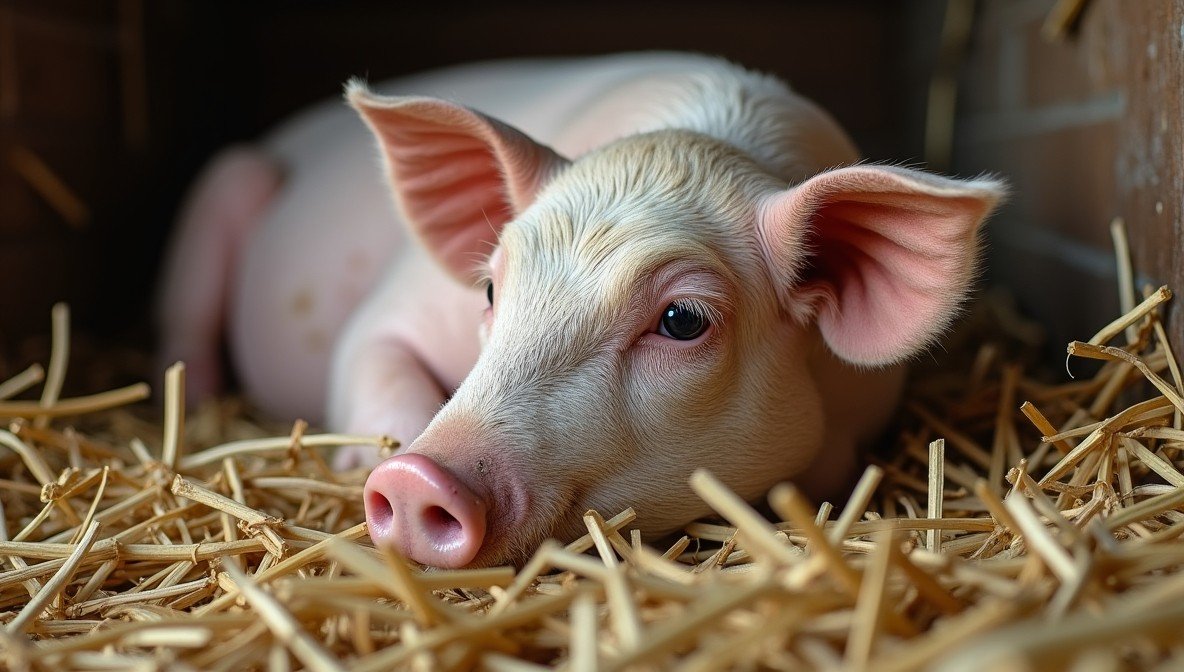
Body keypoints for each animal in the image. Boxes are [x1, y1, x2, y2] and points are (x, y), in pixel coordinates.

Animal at [157, 52, 1004, 569]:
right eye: (490, 289)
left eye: (683, 320)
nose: (418, 478)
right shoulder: (382, 318)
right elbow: (374, 358)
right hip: (225, 185)